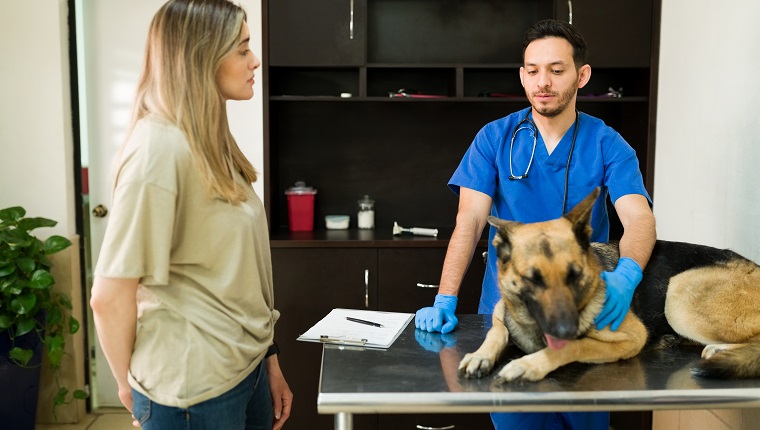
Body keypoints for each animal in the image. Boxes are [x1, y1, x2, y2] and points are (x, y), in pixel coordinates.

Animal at [460, 188, 760, 382]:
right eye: (533, 278)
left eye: (574, 274)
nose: (565, 328)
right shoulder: (501, 316)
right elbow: (496, 331)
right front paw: (480, 355)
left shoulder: (632, 338)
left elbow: (573, 346)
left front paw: (529, 364)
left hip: (678, 294)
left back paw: (719, 350)